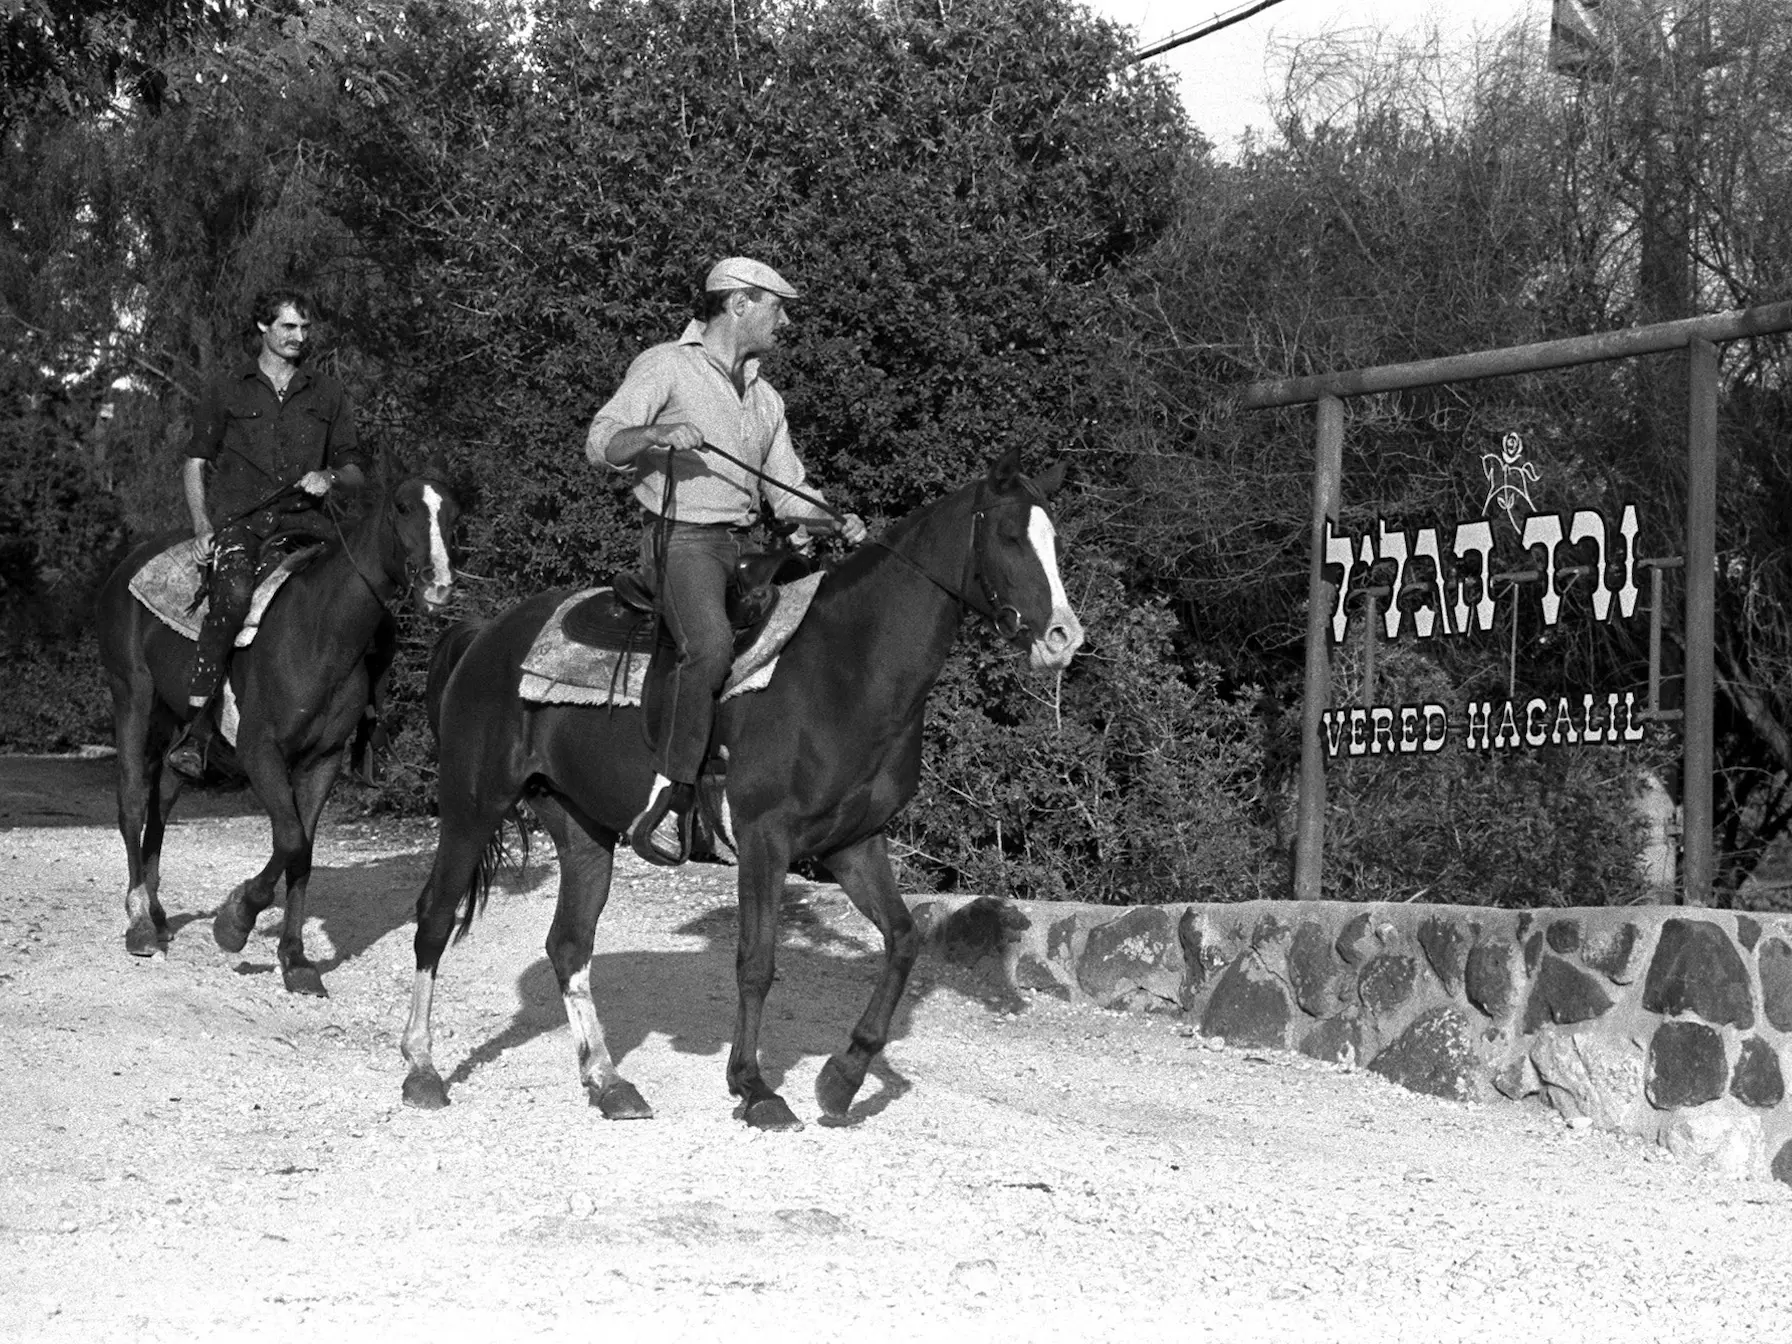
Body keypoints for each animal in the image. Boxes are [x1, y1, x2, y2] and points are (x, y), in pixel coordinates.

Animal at [95, 469, 462, 996]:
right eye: (402, 508)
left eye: (454, 515)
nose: (439, 585)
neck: (321, 632)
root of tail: (126, 565)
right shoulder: (260, 751)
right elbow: (288, 839)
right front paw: (235, 922)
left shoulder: (322, 761)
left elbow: (302, 853)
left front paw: (296, 960)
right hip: (132, 696)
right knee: (130, 801)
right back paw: (141, 922)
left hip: (179, 719)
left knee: (163, 796)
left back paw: (159, 913)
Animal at [403, 453, 1075, 1139]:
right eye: (1010, 536)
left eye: (1056, 541)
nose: (1062, 637)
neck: (845, 666)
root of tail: (486, 636)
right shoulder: (763, 838)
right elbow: (756, 962)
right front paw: (754, 1088)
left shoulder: (854, 843)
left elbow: (904, 940)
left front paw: (842, 1078)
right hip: (471, 805)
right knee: (434, 919)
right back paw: (422, 1070)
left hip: (580, 828)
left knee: (569, 945)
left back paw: (610, 1084)